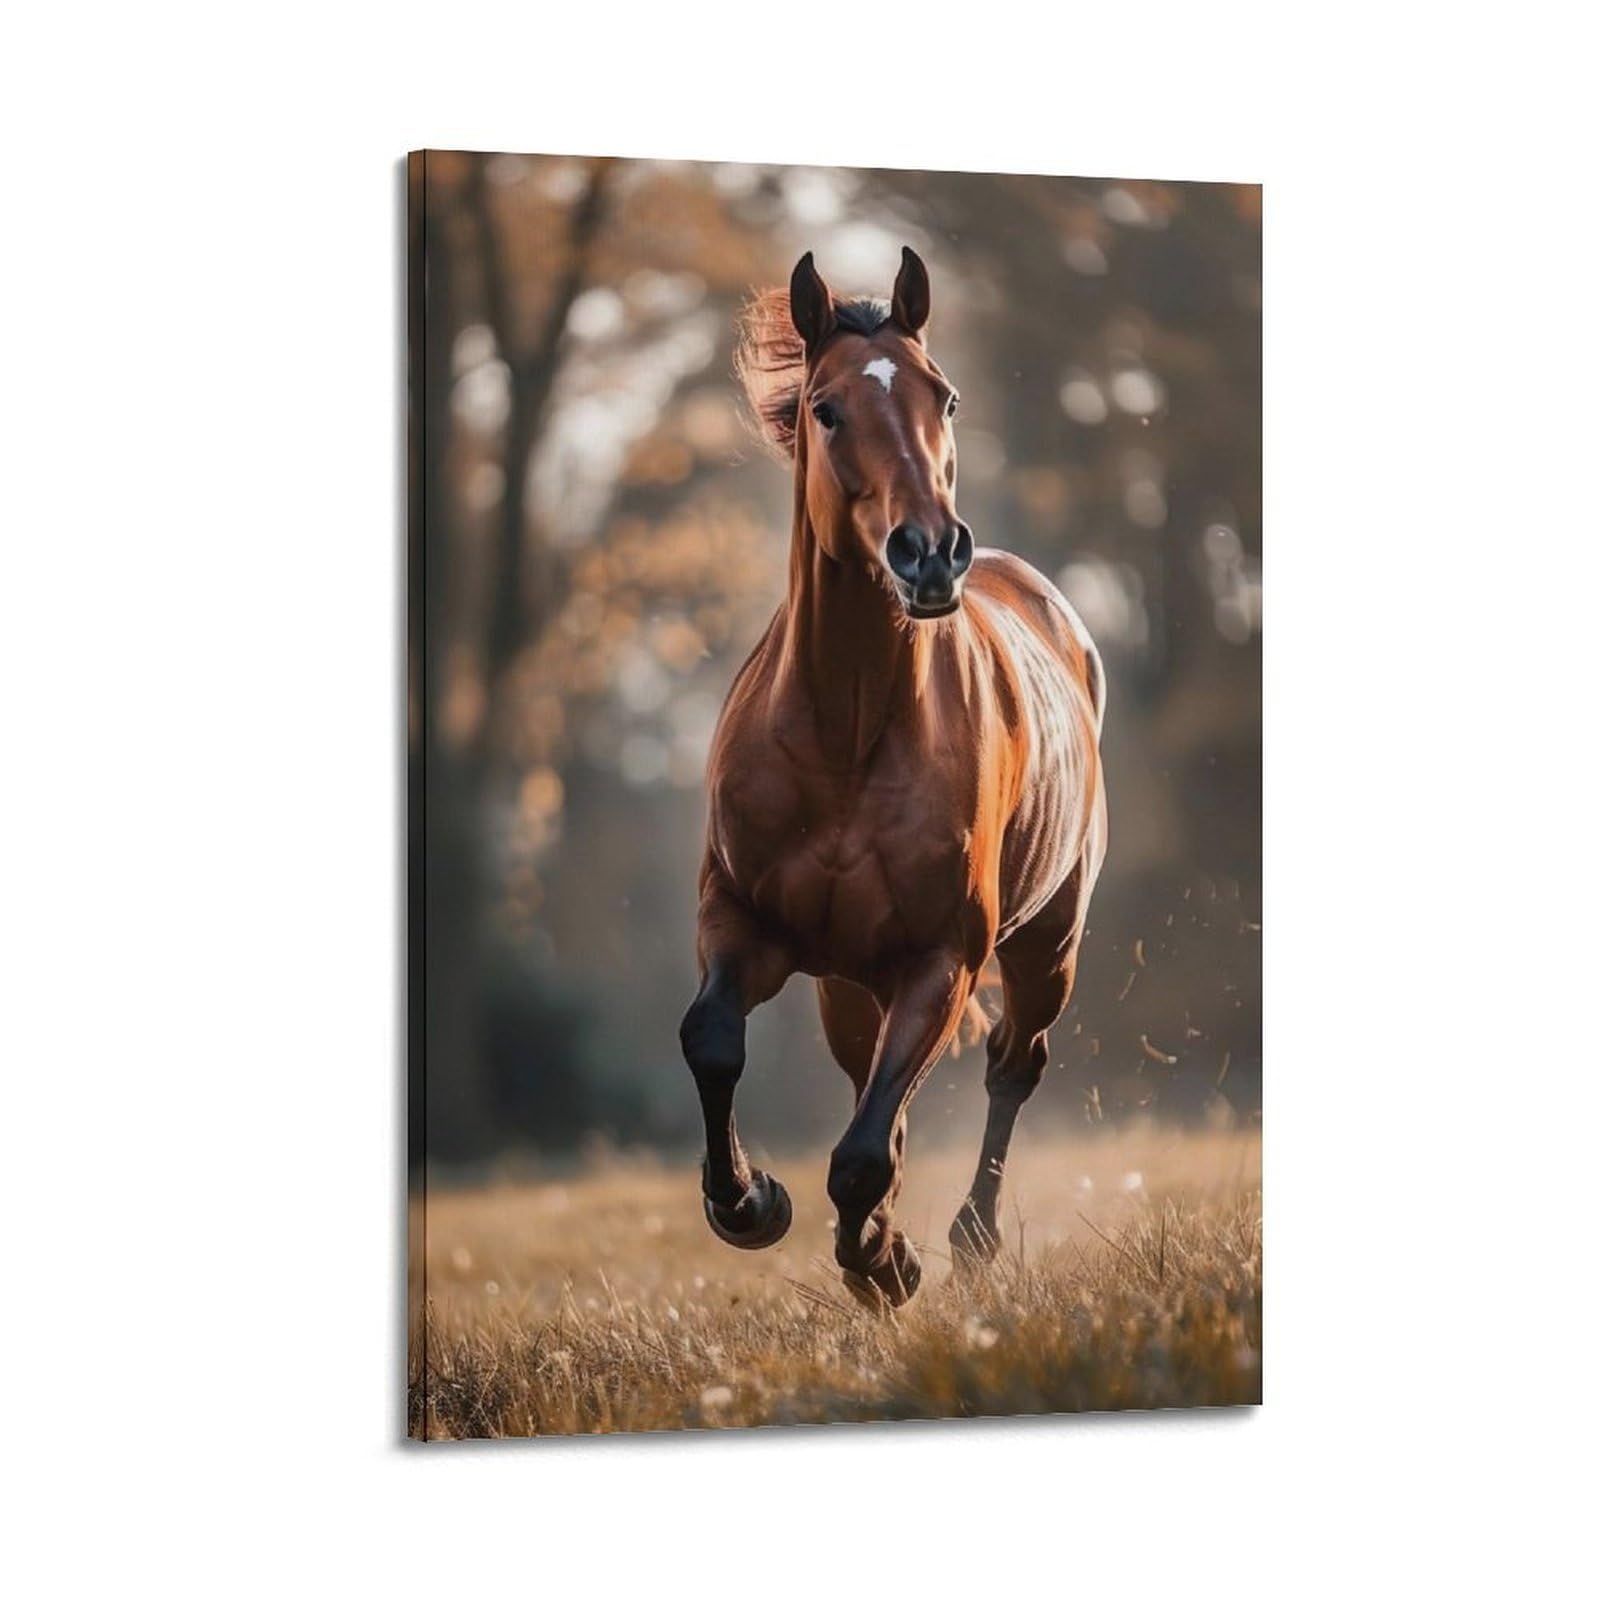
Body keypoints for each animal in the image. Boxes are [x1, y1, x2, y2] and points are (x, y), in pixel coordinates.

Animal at [679, 246, 1108, 1308]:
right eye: (826, 408)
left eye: (943, 396)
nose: (929, 551)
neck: (848, 733)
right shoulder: (741, 919)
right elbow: (712, 1039)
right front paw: (748, 1204)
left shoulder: (939, 961)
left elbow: (864, 1154)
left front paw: (884, 1264)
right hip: (847, 983)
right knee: (874, 1085)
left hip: (1048, 945)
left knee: (1012, 1065)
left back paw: (966, 1238)